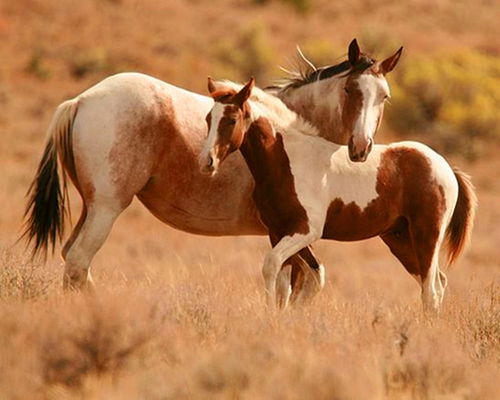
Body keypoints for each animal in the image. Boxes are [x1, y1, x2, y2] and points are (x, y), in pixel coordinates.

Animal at [23, 39, 404, 300]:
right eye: (350, 88)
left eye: (384, 96)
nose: (361, 147)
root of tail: (81, 101)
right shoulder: (289, 231)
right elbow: (303, 282)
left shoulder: (285, 234)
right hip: (106, 208)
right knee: (78, 262)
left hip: (91, 208)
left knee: (72, 259)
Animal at [199, 76, 476, 310]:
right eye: (208, 119)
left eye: (231, 120)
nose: (206, 161)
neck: (288, 161)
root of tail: (445, 166)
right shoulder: (278, 231)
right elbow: (285, 282)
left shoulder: (306, 230)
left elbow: (271, 266)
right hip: (400, 239)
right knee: (437, 283)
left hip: (426, 235)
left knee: (431, 290)